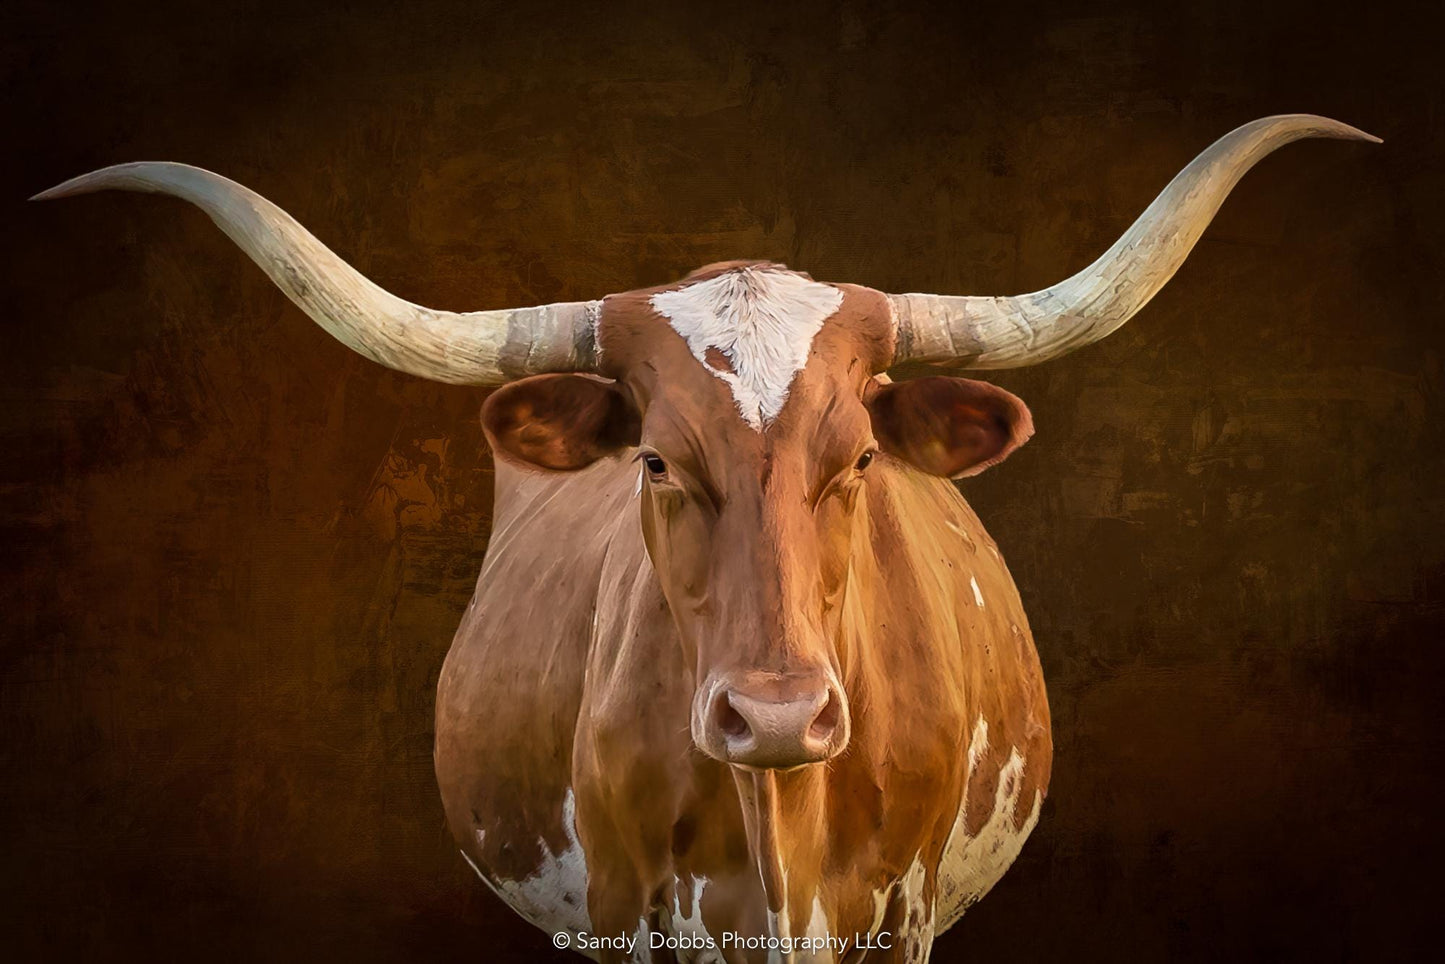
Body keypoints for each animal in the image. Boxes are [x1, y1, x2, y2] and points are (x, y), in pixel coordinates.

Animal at [35, 114, 1376, 962]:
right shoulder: (628, 909)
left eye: (860, 460)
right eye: (656, 461)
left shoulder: (900, 913)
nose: (775, 715)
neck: (778, 829)